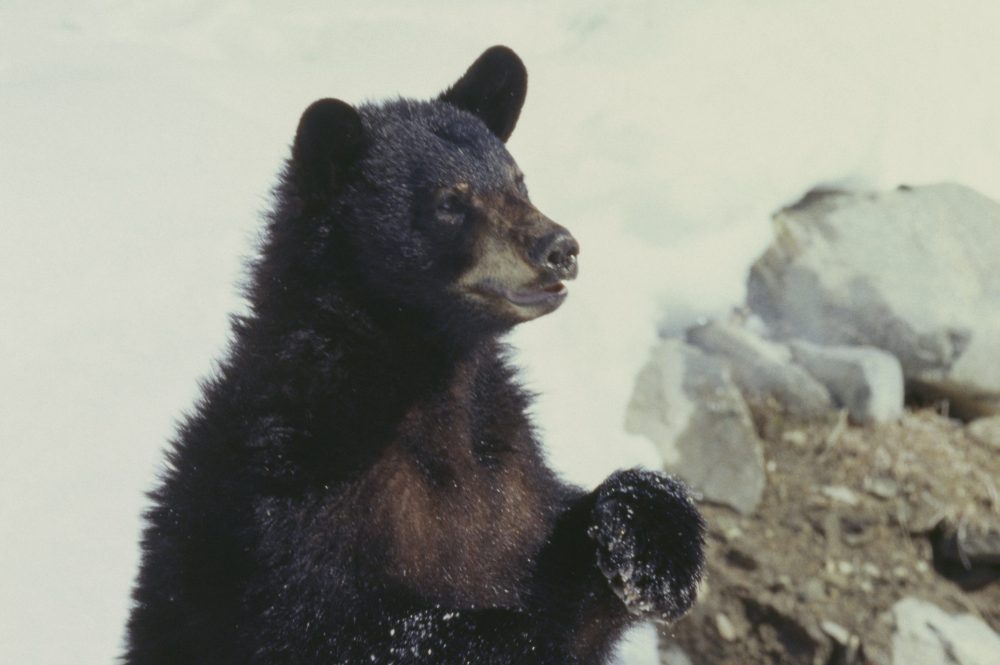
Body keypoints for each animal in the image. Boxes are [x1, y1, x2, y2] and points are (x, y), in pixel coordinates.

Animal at [124, 46, 705, 664]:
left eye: (519, 181)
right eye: (450, 200)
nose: (559, 248)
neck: (428, 383)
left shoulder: (512, 476)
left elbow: (563, 542)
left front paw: (655, 554)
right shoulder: (292, 489)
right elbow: (345, 628)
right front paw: (516, 632)